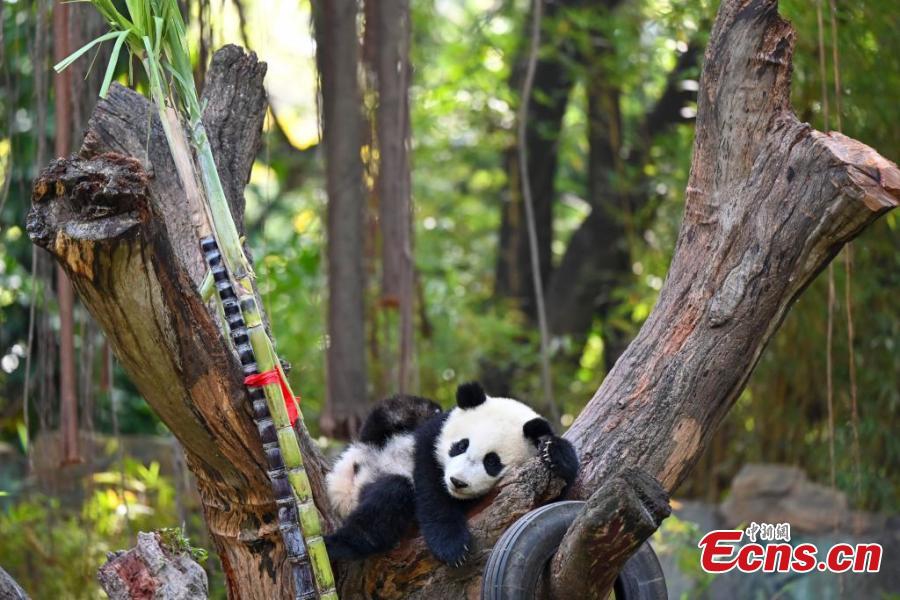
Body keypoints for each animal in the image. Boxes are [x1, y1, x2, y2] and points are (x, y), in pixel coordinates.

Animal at [324, 382, 579, 567]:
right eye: (460, 445)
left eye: (492, 462)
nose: (457, 482)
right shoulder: (430, 442)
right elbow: (432, 493)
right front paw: (452, 547)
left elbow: (559, 499)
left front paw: (555, 453)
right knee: (391, 415)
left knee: (388, 499)